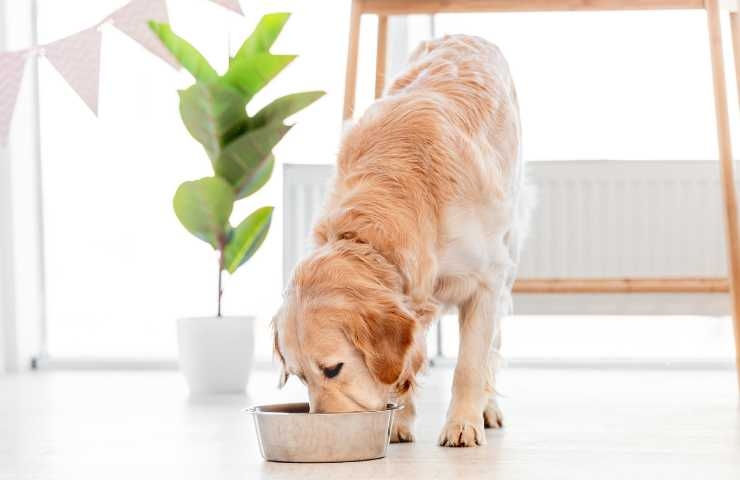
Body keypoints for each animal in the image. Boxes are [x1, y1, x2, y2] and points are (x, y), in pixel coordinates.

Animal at [274, 35, 528, 448]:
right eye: (299, 376)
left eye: (333, 369)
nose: (324, 431)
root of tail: (467, 36)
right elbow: (403, 364)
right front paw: (398, 421)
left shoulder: (485, 282)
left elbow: (470, 364)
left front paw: (462, 424)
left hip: (509, 251)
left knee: (493, 347)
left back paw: (487, 410)